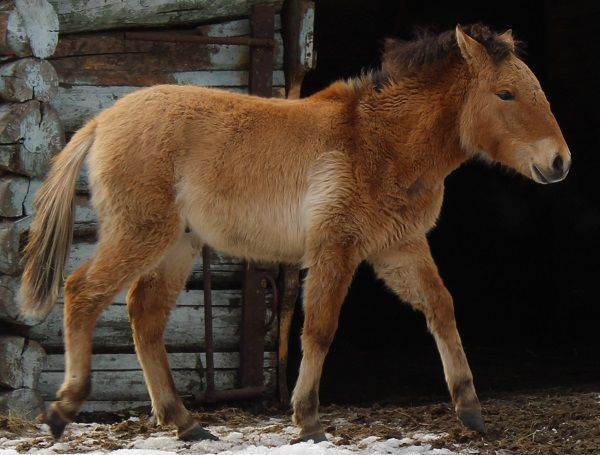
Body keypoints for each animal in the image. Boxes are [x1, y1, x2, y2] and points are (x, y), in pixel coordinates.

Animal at [19, 24, 572, 442]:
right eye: (505, 94)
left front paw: (470, 410)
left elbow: (441, 308)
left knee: (145, 317)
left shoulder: (398, 247)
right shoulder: (336, 247)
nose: (560, 162)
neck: (380, 140)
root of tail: (101, 121)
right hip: (141, 234)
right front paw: (307, 419)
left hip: (177, 244)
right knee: (82, 292)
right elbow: (320, 328)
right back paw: (63, 410)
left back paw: (185, 422)